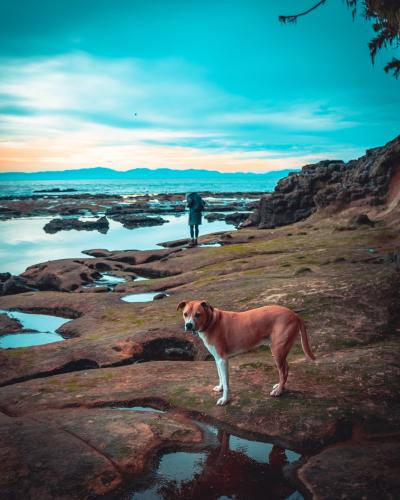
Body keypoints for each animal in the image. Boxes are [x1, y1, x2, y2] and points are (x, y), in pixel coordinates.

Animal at [178, 298, 316, 404]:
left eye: (198, 314)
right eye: (185, 314)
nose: (188, 325)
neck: (211, 321)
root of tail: (294, 314)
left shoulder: (223, 360)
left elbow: (226, 382)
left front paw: (224, 399)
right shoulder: (217, 359)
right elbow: (220, 376)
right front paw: (220, 388)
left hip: (278, 350)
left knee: (283, 371)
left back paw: (279, 391)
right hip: (279, 351)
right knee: (286, 369)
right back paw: (279, 386)